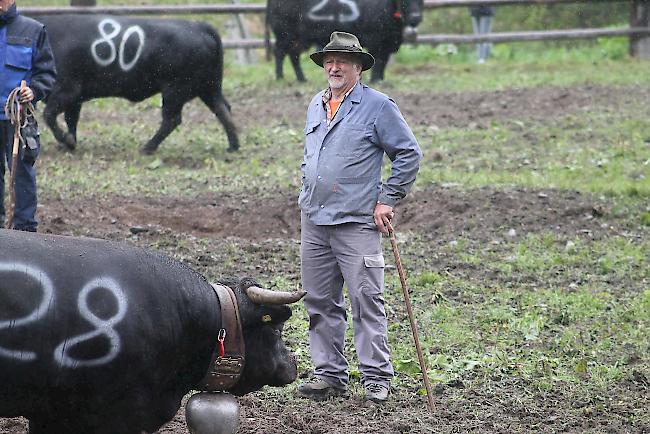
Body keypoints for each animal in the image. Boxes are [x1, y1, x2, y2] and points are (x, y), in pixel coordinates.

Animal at [30, 15, 238, 154]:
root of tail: (199, 26)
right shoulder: (75, 97)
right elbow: (71, 119)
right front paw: (69, 143)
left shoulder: (67, 91)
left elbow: (49, 115)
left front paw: (67, 141)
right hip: (208, 88)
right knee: (223, 109)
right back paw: (233, 146)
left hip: (175, 90)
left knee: (172, 120)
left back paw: (147, 147)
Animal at [264, 0, 422, 81]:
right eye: (405, 0)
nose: (416, 16)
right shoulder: (376, 40)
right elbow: (379, 62)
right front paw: (376, 80)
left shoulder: (388, 42)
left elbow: (383, 62)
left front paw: (381, 80)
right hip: (285, 35)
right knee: (280, 52)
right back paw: (280, 77)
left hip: (298, 38)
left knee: (293, 55)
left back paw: (302, 79)